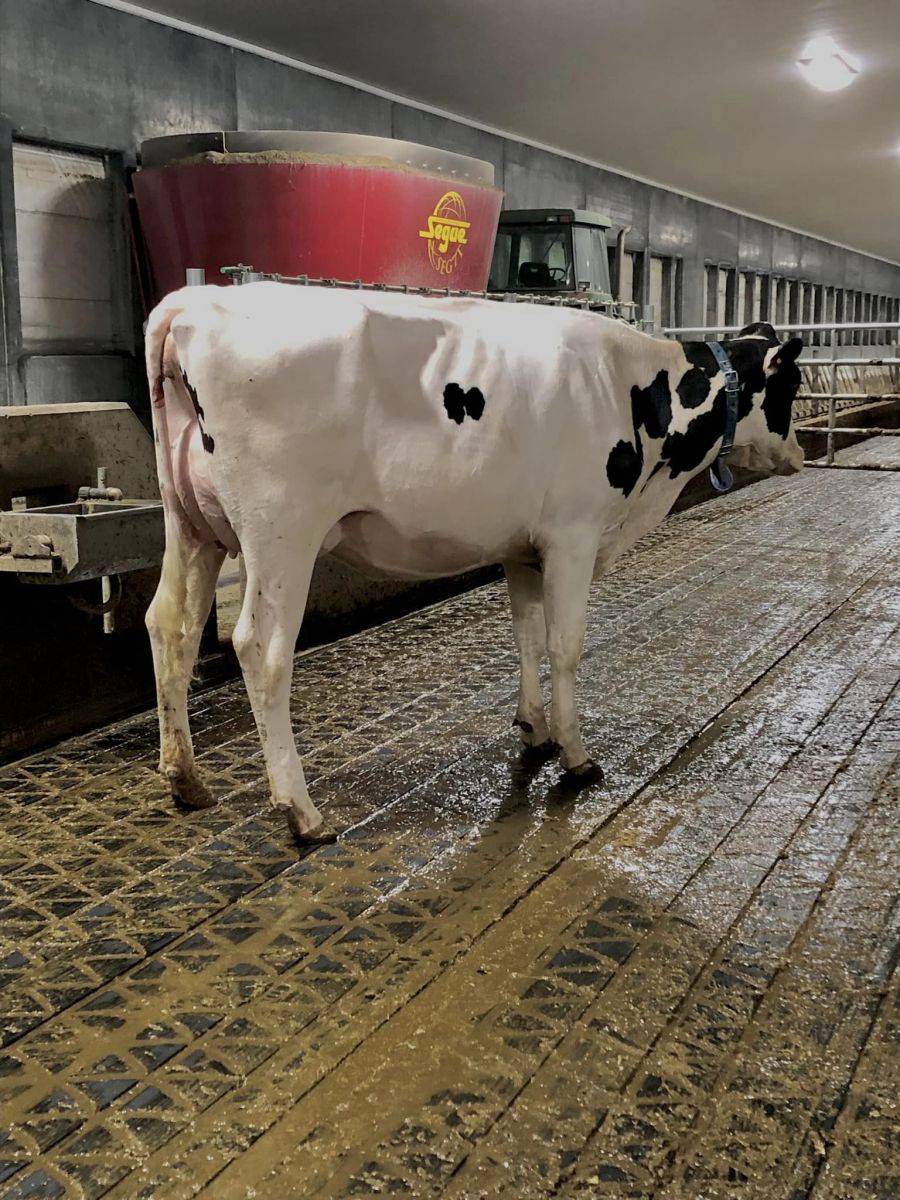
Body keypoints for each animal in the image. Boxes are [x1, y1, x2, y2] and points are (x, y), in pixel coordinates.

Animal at [144, 284, 804, 842]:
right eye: (791, 389)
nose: (799, 455)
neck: (632, 387)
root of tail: (195, 301)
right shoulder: (573, 535)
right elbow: (565, 645)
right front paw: (577, 756)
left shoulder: (524, 547)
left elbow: (527, 636)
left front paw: (534, 731)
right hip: (281, 532)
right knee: (261, 649)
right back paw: (302, 812)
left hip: (191, 525)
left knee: (171, 624)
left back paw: (186, 781)